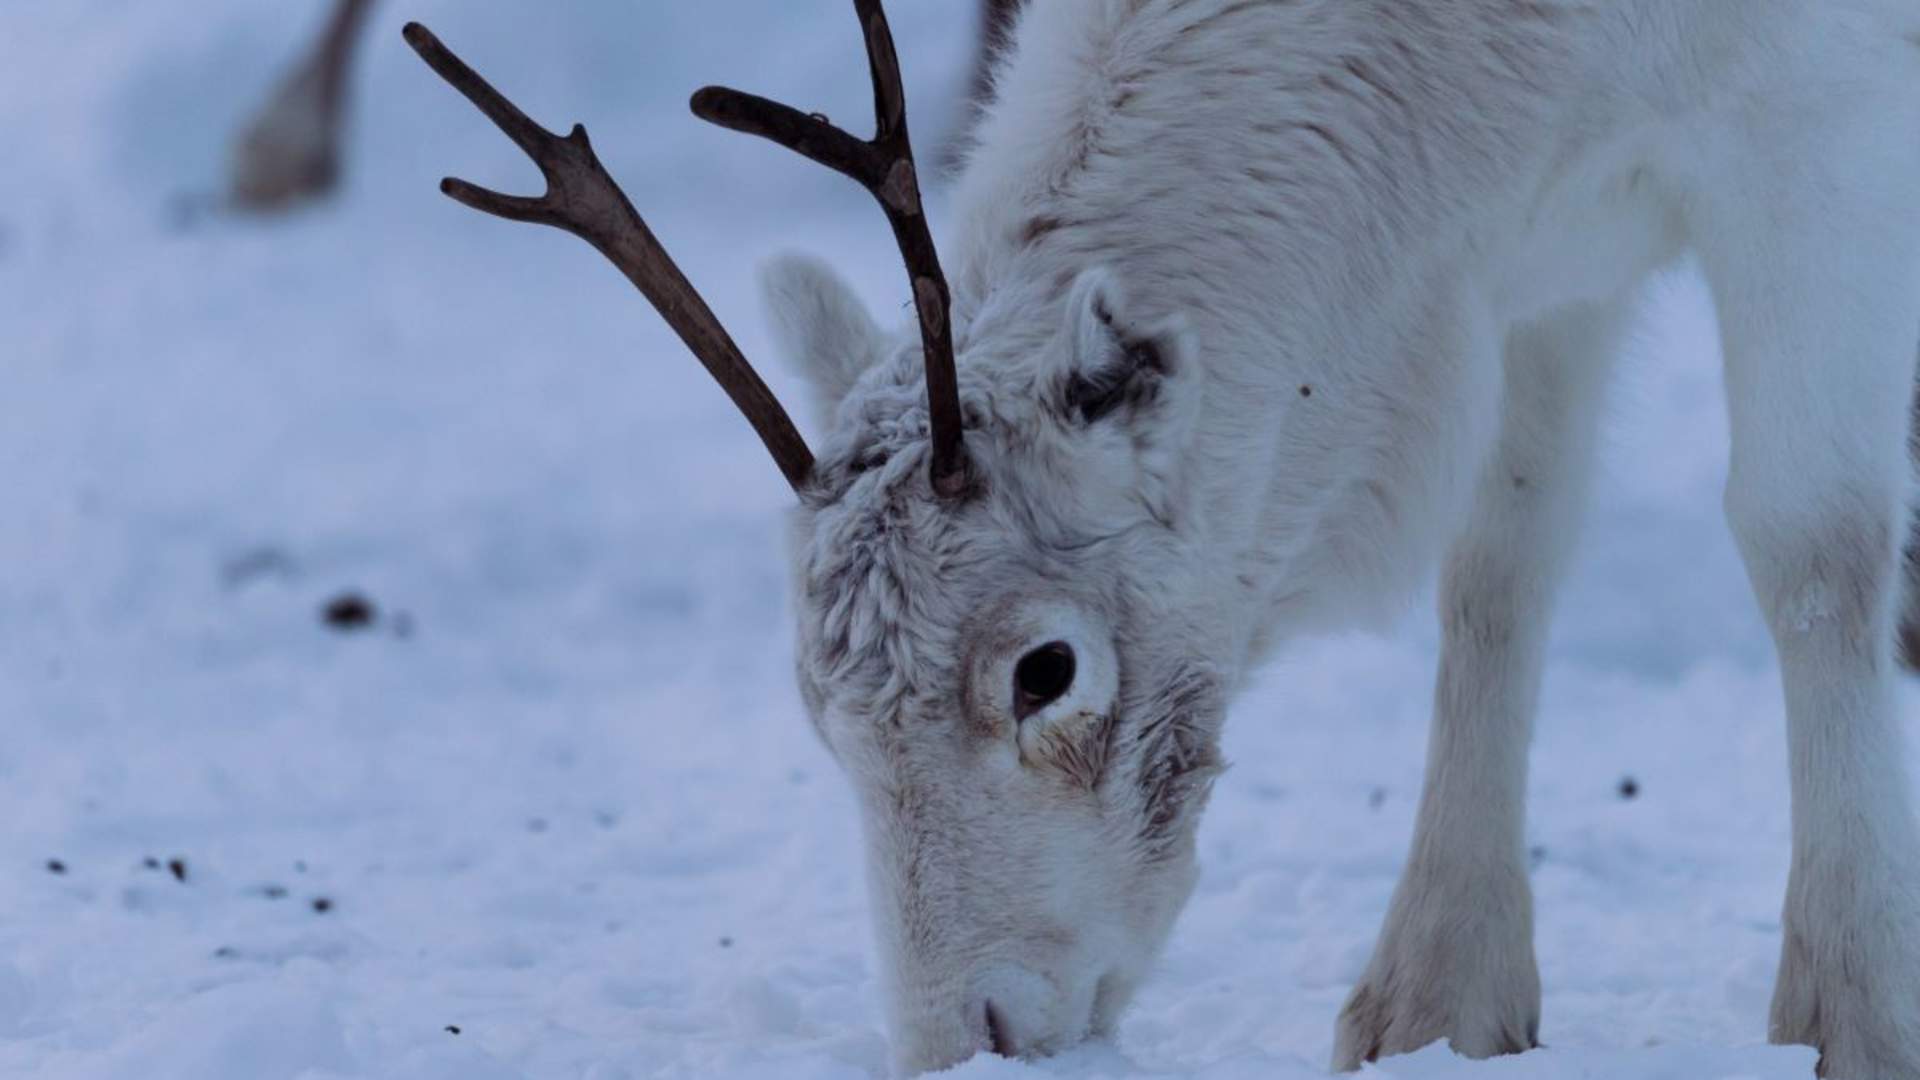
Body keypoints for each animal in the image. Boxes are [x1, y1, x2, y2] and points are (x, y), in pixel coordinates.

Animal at [403, 1, 1920, 1077]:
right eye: (817, 707)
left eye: (1046, 672)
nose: (974, 1039)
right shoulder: (1537, 250)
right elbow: (1501, 565)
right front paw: (1438, 1008)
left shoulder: (1814, 129)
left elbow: (1811, 547)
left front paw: (1850, 1021)